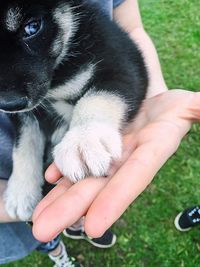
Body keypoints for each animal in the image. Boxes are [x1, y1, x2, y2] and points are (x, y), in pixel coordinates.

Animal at [0, 0, 148, 221]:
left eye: (33, 27)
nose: (9, 103)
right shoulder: (24, 116)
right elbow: (24, 144)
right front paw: (21, 191)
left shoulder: (123, 64)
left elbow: (97, 98)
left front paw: (84, 138)